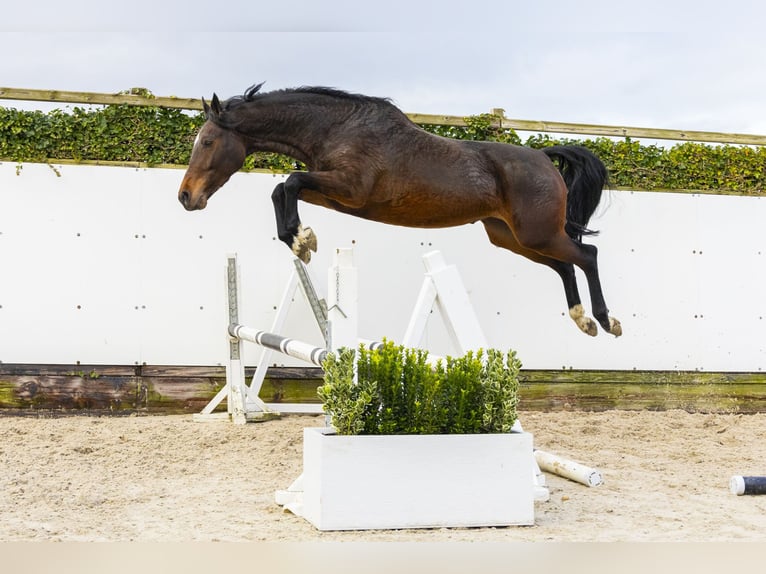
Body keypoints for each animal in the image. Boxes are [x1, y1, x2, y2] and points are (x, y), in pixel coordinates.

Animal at [180, 84, 624, 338]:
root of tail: (544, 157)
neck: (336, 129)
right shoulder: (336, 193)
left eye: (207, 142)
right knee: (565, 265)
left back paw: (607, 321)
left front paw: (302, 240)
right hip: (512, 238)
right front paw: (300, 240)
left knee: (586, 255)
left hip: (536, 234)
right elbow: (281, 188)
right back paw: (583, 321)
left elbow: (289, 181)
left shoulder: (349, 189)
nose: (186, 197)